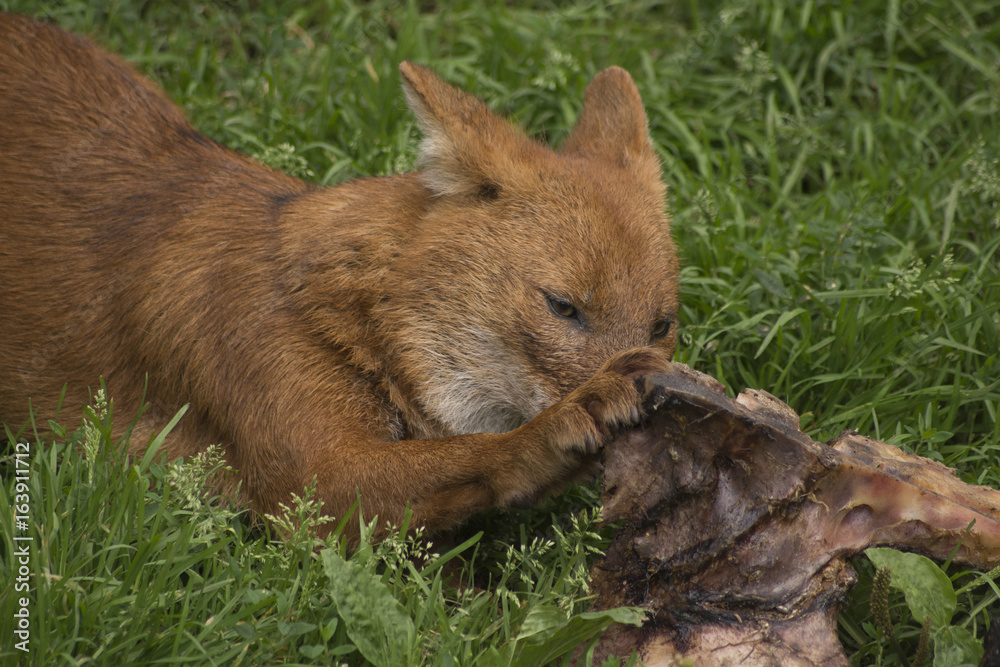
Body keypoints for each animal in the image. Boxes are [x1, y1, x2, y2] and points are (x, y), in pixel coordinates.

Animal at [0, 13, 680, 539]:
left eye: (662, 325)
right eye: (562, 306)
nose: (666, 395)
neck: (350, 311)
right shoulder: (314, 488)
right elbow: (479, 452)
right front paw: (580, 410)